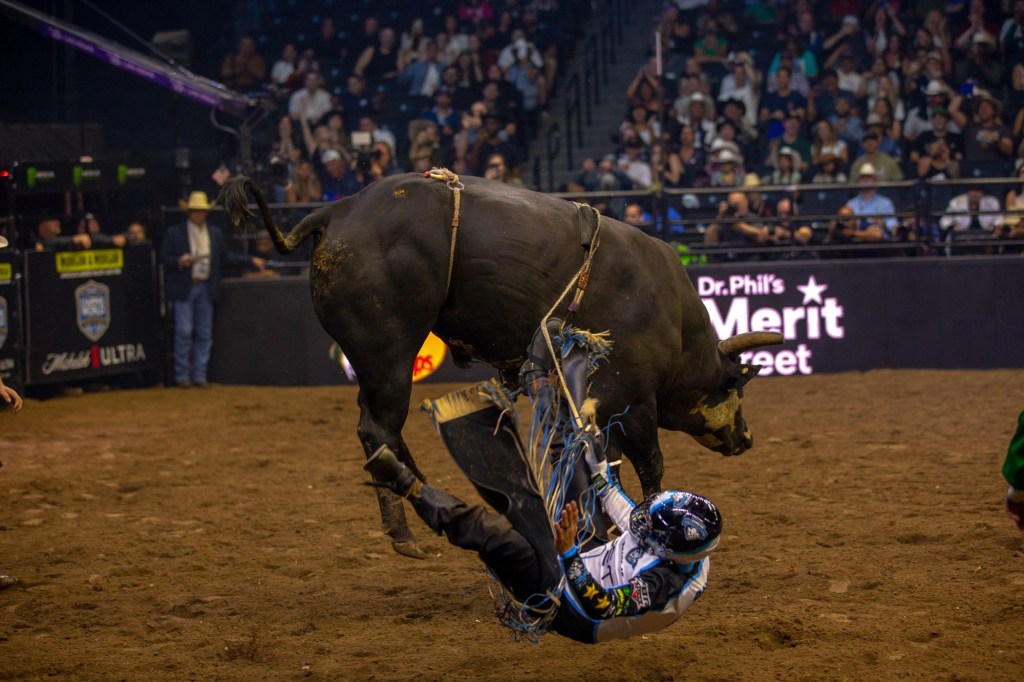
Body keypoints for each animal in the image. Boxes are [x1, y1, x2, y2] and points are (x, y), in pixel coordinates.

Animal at [224, 174, 778, 557]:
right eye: (736, 388)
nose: (747, 438)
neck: (674, 319)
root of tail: (336, 213)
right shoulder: (635, 398)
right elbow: (650, 466)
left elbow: (590, 463)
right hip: (388, 354)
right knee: (376, 431)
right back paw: (404, 532)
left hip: (378, 363)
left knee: (386, 432)